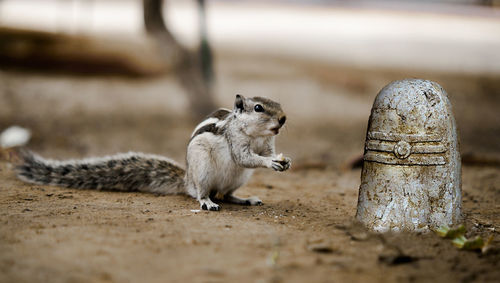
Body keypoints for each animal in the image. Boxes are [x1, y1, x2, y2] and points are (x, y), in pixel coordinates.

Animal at [15, 95, 292, 211]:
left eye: (278, 104)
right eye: (258, 108)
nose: (283, 118)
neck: (256, 135)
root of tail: (187, 181)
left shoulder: (268, 143)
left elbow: (265, 153)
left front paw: (284, 160)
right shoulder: (236, 143)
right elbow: (244, 157)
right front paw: (270, 162)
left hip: (238, 178)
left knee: (227, 194)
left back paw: (244, 199)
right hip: (202, 172)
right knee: (205, 194)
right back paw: (206, 202)